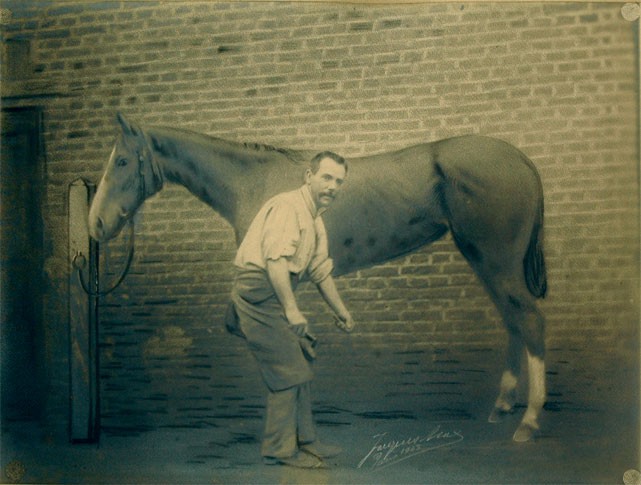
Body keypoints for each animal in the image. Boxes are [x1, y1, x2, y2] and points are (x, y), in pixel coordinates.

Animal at [89, 112, 544, 442]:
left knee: (530, 320)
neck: (252, 183)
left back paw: (529, 421)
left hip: (496, 262)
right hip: (484, 260)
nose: (96, 223)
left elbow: (269, 337)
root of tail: (522, 160)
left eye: (123, 161)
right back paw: (503, 406)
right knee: (512, 321)